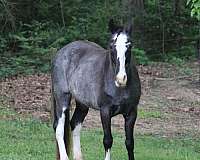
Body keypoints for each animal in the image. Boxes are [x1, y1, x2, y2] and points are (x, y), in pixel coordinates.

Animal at [50, 20, 141, 160]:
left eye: (129, 45)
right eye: (111, 46)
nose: (121, 78)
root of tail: (60, 52)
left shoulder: (131, 113)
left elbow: (129, 142)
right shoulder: (105, 111)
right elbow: (108, 140)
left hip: (82, 104)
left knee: (74, 124)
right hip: (62, 98)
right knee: (59, 128)